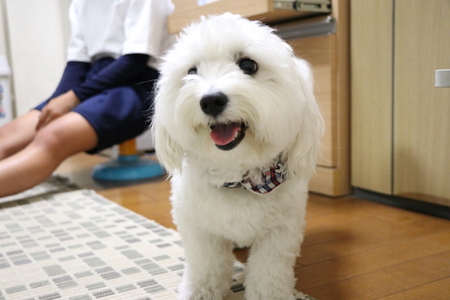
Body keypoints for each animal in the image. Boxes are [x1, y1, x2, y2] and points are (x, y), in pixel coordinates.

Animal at [153, 12, 322, 298]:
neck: (236, 177)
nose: (211, 100)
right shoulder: (200, 230)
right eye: (191, 71)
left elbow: (268, 274)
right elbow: (205, 266)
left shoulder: (279, 233)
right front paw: (199, 292)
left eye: (248, 65)